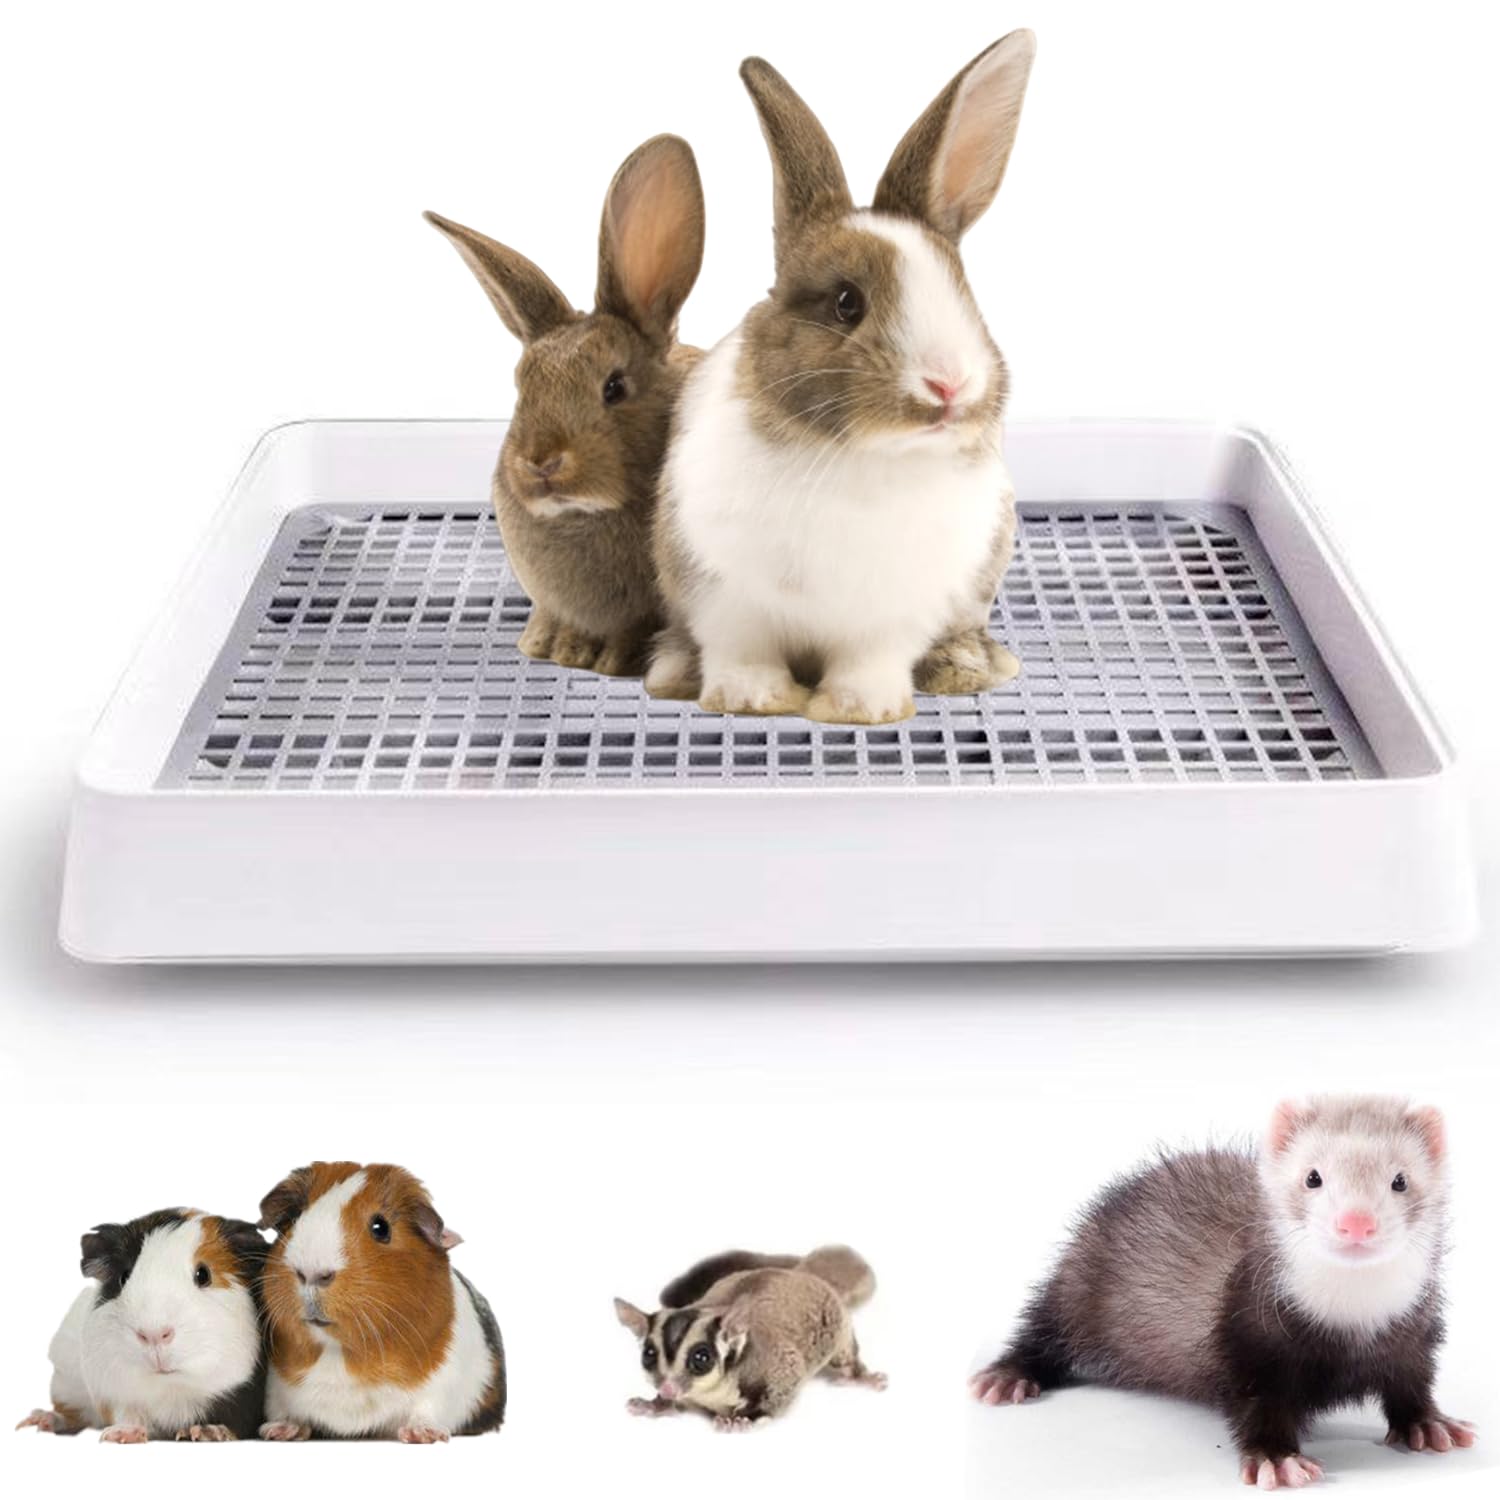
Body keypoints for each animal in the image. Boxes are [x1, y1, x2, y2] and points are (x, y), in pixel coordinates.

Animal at [18, 1209, 268, 1443]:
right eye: (124, 1277)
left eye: (203, 1274)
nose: (154, 1334)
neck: (171, 1391)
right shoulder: (113, 1392)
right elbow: (128, 1415)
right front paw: (120, 1435)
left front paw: (207, 1432)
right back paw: (38, 1420)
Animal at [647, 33, 1036, 722]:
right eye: (846, 303)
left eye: (965, 294)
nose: (949, 386)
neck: (863, 457)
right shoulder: (722, 596)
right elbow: (742, 652)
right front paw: (752, 700)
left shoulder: (892, 615)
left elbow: (870, 661)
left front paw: (864, 709)